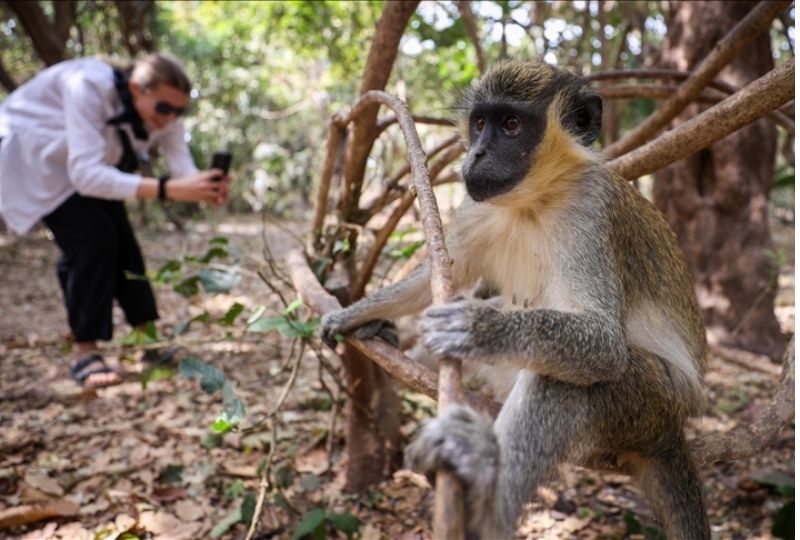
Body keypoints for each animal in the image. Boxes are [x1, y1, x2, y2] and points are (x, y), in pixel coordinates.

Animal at [321, 59, 710, 539]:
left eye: (510, 125)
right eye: (479, 123)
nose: (475, 155)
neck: (535, 198)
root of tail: (676, 428)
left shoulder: (590, 209)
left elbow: (604, 345)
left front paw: (481, 327)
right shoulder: (477, 204)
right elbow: (439, 274)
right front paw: (358, 312)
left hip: (652, 406)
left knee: (570, 380)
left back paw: (483, 493)